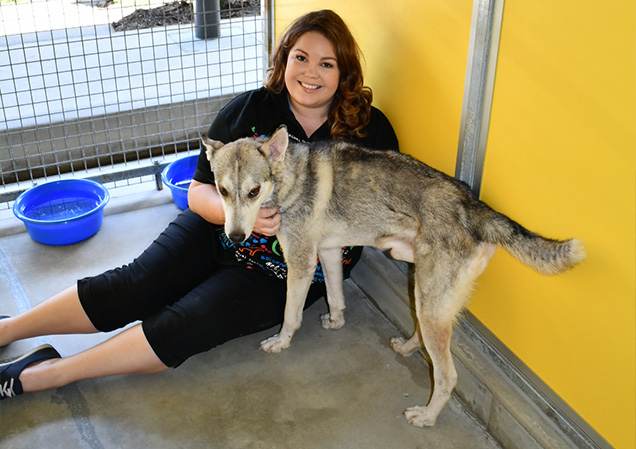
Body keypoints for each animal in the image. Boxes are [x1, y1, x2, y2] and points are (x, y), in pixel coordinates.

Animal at [200, 126, 588, 428]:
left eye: (253, 191)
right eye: (222, 190)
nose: (235, 236)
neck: (292, 177)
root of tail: (475, 207)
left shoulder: (301, 263)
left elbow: (290, 316)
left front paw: (281, 342)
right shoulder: (328, 253)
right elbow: (336, 297)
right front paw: (336, 321)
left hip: (429, 302)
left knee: (447, 375)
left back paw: (427, 416)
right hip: (425, 295)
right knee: (425, 340)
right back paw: (406, 347)